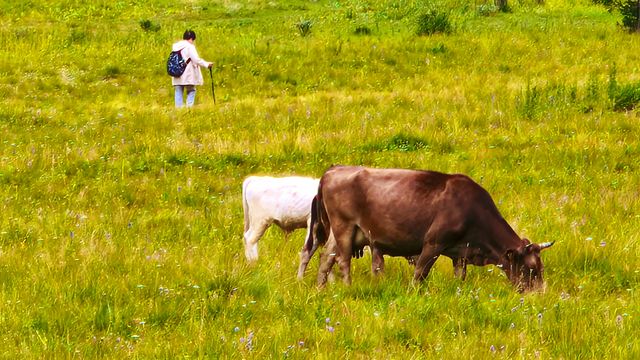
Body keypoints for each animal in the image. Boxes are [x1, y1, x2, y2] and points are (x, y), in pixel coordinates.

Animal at [298, 166, 552, 292]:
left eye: (540, 267)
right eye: (530, 268)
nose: (541, 294)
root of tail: (332, 171)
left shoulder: (461, 253)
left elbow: (460, 277)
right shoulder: (433, 243)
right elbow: (420, 273)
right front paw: (413, 293)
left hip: (341, 232)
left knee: (325, 257)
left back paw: (321, 288)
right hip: (344, 226)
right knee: (342, 259)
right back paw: (348, 287)